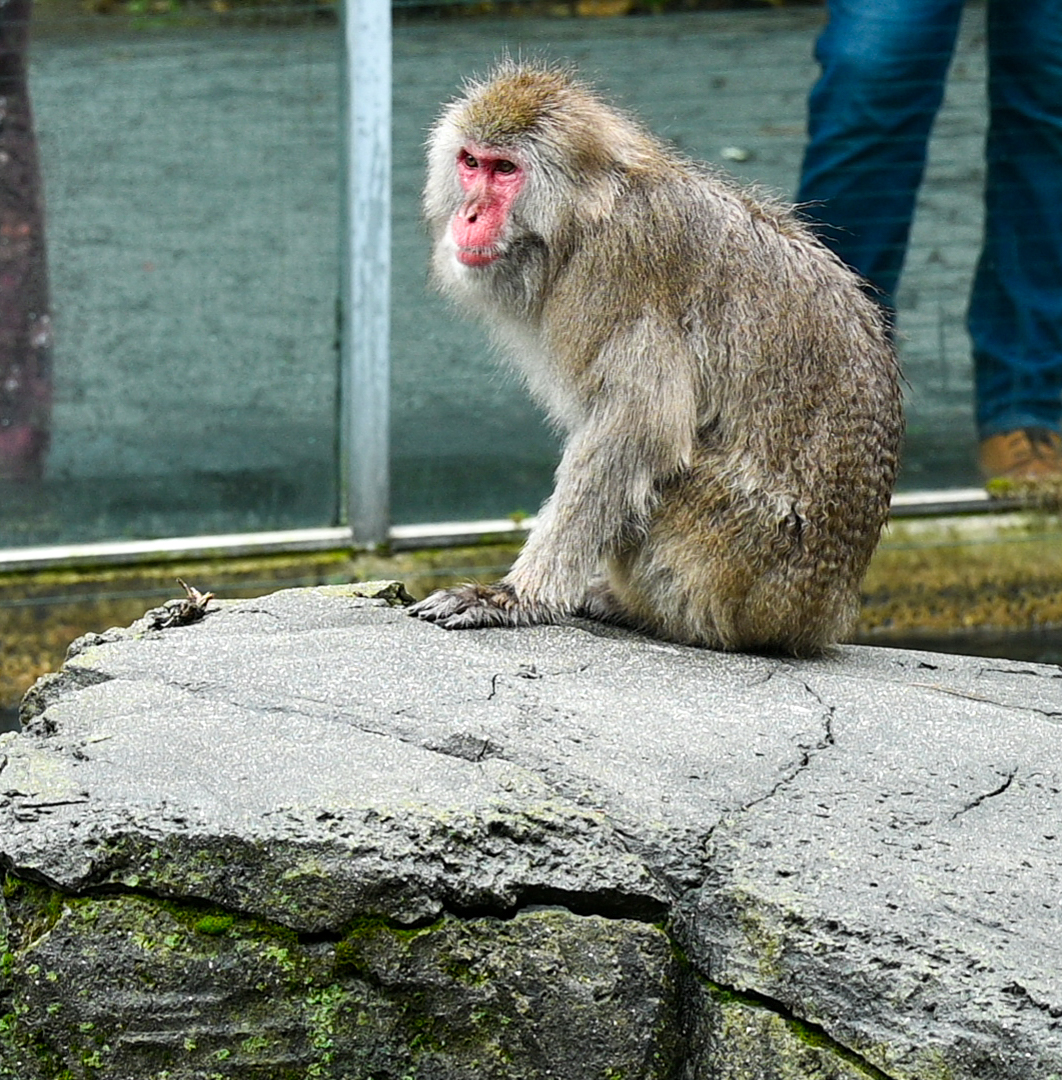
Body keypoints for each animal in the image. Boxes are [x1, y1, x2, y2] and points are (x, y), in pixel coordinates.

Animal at [409, 60, 903, 657]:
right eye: (470, 162)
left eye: (505, 170)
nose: (470, 213)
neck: (580, 221)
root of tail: (824, 614)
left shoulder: (619, 270)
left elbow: (637, 428)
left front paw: (516, 596)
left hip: (739, 554)